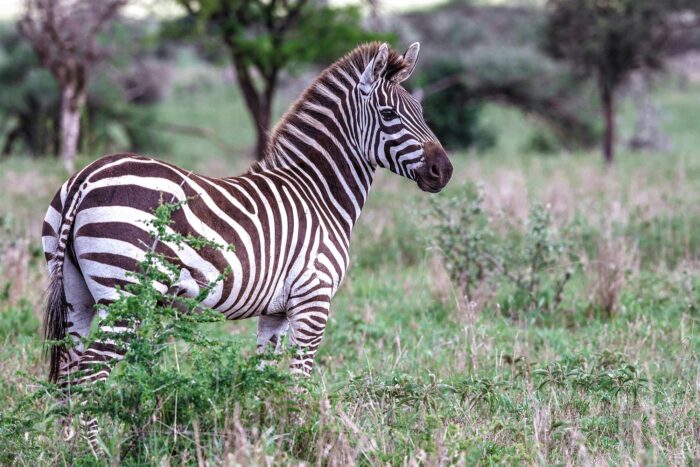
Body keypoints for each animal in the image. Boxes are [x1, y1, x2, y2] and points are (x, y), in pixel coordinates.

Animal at [41, 40, 454, 442]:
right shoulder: (314, 300)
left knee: (66, 379)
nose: (444, 171)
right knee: (88, 379)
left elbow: (267, 378)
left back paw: (69, 451)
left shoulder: (276, 312)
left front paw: (265, 436)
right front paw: (301, 440)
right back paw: (94, 452)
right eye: (389, 114)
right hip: (125, 294)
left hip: (76, 296)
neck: (319, 193)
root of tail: (84, 180)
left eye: (420, 110)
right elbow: (297, 382)